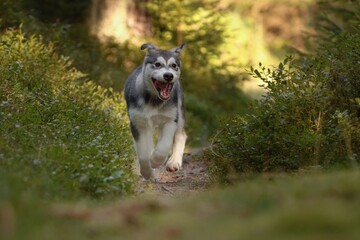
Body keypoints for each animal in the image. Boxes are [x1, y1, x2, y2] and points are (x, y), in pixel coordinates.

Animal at [124, 42, 187, 180]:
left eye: (174, 65)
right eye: (157, 64)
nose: (168, 76)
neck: (154, 101)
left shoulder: (170, 119)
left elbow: (163, 146)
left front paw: (155, 161)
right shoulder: (139, 124)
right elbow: (143, 153)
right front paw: (147, 173)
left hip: (179, 113)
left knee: (181, 135)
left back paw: (174, 161)